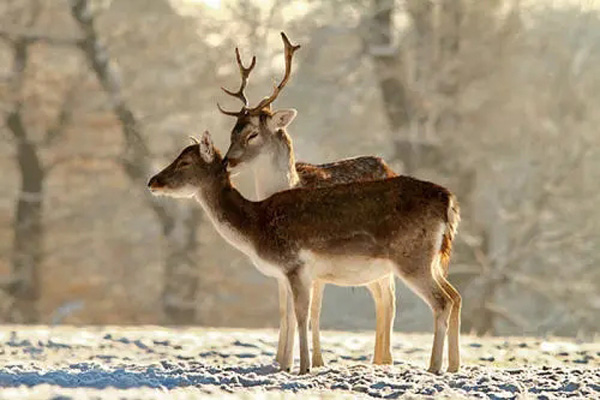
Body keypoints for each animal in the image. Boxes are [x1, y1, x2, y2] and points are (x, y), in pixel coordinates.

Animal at [148, 130, 462, 376]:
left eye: (185, 161)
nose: (153, 181)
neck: (255, 227)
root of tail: (448, 201)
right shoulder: (290, 273)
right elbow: (291, 315)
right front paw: (289, 365)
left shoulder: (294, 265)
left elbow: (301, 314)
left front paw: (303, 367)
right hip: (432, 261)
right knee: (456, 296)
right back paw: (454, 365)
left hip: (412, 258)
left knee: (442, 301)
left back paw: (434, 366)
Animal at [216, 33, 398, 368]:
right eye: (232, 131)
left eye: (253, 134)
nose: (227, 162)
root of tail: (387, 166)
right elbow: (284, 310)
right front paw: (280, 361)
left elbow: (313, 311)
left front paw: (316, 361)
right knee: (380, 296)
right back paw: (378, 358)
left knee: (388, 297)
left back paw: (384, 359)